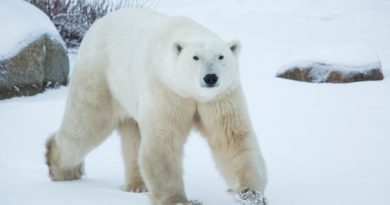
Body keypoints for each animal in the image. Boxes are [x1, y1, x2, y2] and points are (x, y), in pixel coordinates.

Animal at [43, 8, 268, 205]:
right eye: (195, 57)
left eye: (221, 56)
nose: (210, 77)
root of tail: (96, 24)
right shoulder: (166, 89)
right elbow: (164, 141)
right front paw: (179, 200)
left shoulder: (219, 98)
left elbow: (231, 139)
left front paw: (250, 194)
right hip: (100, 77)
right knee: (85, 125)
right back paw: (61, 168)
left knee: (132, 135)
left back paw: (136, 185)